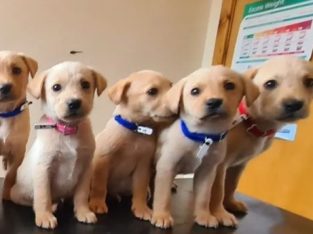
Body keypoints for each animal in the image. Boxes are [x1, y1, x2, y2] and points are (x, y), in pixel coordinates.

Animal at [9, 60, 106, 229]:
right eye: (56, 87)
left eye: (85, 84)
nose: (74, 103)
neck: (67, 130)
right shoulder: (43, 168)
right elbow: (43, 196)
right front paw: (44, 216)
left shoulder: (85, 169)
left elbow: (81, 195)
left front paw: (83, 212)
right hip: (18, 193)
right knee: (33, 200)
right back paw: (51, 207)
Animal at [89, 70, 174, 220]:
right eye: (152, 91)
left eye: (171, 86)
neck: (135, 130)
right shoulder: (102, 160)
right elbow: (99, 185)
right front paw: (97, 203)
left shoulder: (143, 166)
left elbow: (140, 189)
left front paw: (141, 208)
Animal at [149, 65, 258, 229]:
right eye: (195, 91)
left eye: (229, 85)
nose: (214, 102)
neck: (203, 136)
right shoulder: (167, 166)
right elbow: (163, 195)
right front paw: (161, 215)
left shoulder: (207, 171)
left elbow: (203, 197)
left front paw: (203, 216)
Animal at [208, 55, 312, 227]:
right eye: (270, 84)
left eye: (309, 82)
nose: (294, 104)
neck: (251, 122)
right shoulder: (219, 164)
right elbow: (218, 190)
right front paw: (220, 213)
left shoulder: (240, 164)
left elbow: (231, 185)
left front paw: (230, 203)